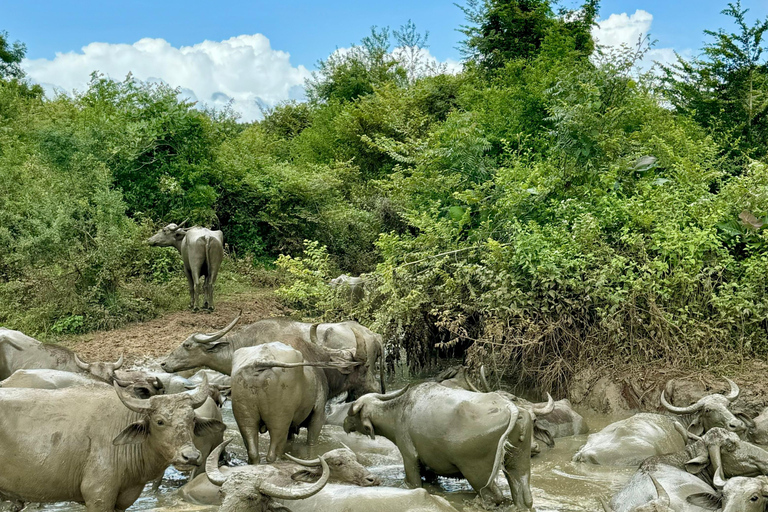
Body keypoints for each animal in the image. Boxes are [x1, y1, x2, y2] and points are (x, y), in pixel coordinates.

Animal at [344, 384, 536, 508]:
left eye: (352, 415)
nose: (344, 423)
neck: (398, 411)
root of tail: (511, 407)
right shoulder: (430, 466)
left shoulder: (409, 456)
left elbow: (413, 482)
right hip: (519, 463)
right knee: (524, 495)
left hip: (476, 471)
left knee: (494, 496)